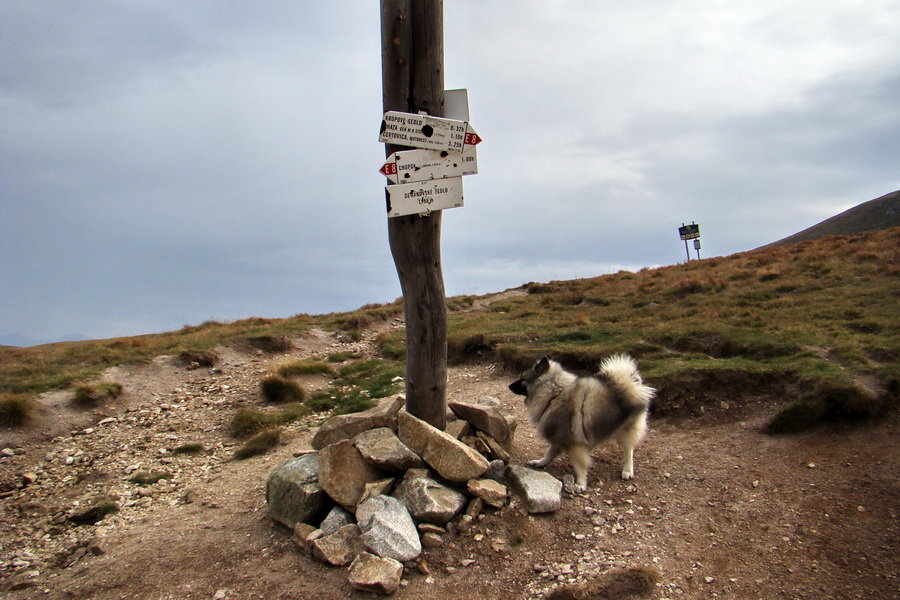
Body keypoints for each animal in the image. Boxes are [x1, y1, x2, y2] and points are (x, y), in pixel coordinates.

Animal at [512, 354, 652, 490]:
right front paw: (540, 462)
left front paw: (580, 483)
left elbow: (579, 465)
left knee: (629, 451)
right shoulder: (559, 437)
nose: (509, 386)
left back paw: (627, 470)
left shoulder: (572, 442)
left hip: (626, 429)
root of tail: (630, 382)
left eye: (523, 379)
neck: (554, 395)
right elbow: (550, 453)